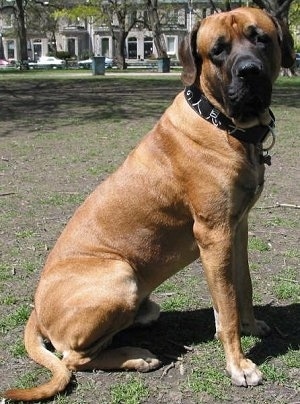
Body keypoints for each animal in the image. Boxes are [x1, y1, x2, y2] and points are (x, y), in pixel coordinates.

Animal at [1, 6, 292, 400]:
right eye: (217, 50)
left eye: (260, 38)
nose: (249, 70)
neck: (221, 122)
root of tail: (35, 308)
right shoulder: (214, 234)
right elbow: (228, 305)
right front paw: (239, 364)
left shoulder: (237, 227)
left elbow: (240, 288)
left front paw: (249, 324)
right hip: (121, 276)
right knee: (73, 357)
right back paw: (136, 356)